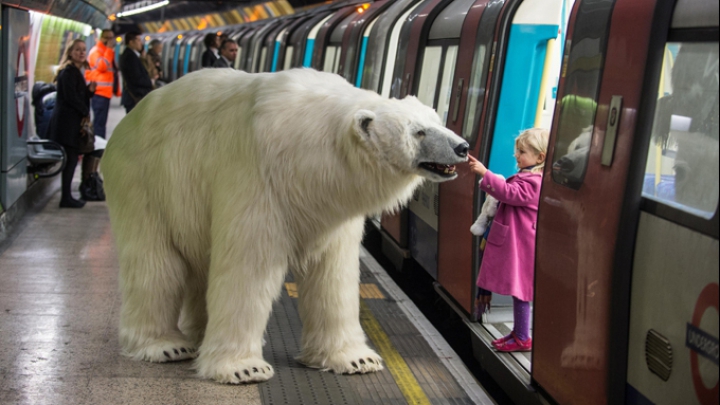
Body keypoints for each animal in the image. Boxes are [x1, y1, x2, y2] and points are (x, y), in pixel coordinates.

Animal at [104, 68, 470, 384]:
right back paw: (166, 345)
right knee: (156, 265)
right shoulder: (257, 176)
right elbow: (248, 267)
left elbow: (333, 274)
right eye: (418, 131)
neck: (308, 152)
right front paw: (243, 368)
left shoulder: (330, 207)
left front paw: (357, 359)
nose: (463, 147)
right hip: (145, 182)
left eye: (437, 120)